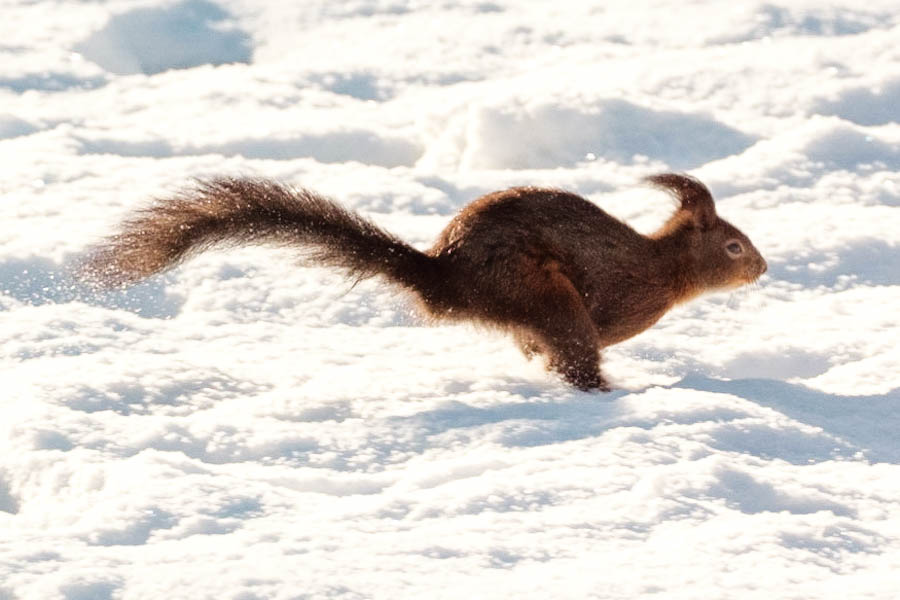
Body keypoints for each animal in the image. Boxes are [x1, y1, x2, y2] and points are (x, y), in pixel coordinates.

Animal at [81, 171, 764, 392]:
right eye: (733, 245)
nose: (762, 267)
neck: (663, 270)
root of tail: (445, 276)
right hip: (542, 291)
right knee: (574, 348)